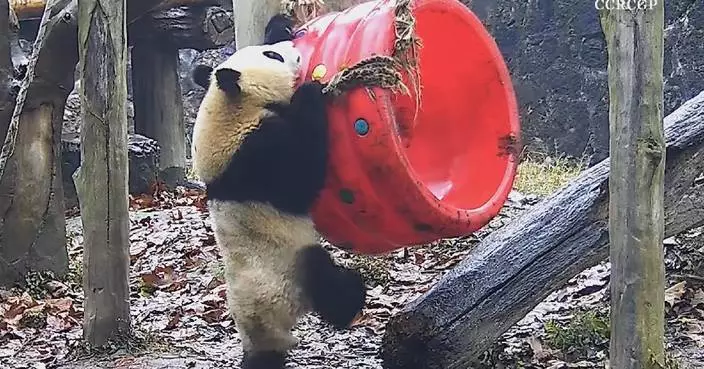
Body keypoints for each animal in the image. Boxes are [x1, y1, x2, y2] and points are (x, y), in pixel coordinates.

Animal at [192, 14, 368, 368]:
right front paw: (310, 93)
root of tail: (258, 340)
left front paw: (279, 24)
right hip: (284, 276)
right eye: (272, 57)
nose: (293, 49)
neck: (228, 111)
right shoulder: (255, 154)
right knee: (325, 280)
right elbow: (301, 175)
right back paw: (353, 296)